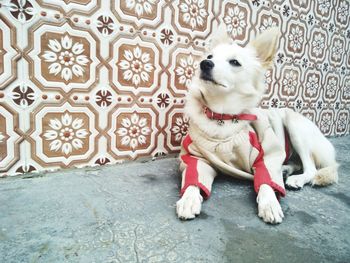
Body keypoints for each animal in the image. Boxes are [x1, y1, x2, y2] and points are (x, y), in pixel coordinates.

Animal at [176, 26, 338, 225]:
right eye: (210, 56)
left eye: (235, 62)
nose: (205, 64)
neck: (222, 117)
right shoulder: (196, 157)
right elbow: (194, 179)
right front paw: (189, 199)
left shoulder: (267, 154)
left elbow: (267, 181)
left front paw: (270, 203)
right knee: (297, 163)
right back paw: (285, 170)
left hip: (294, 125)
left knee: (311, 168)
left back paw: (296, 179)